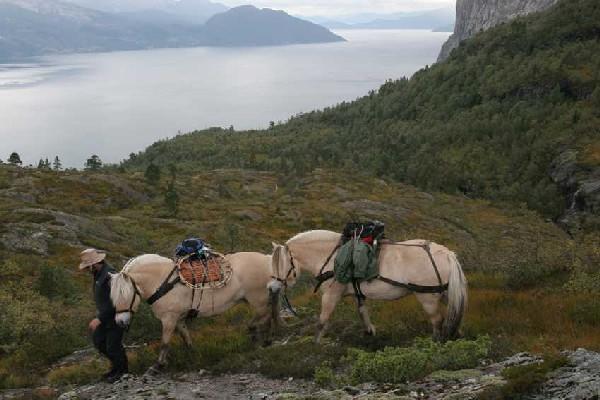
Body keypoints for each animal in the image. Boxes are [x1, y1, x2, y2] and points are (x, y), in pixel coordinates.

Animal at [109, 253, 278, 372]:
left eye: (124, 294)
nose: (120, 322)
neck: (162, 281)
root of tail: (267, 259)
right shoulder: (179, 319)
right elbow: (186, 338)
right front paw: (192, 355)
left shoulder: (169, 319)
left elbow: (164, 342)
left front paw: (158, 366)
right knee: (266, 316)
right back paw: (262, 337)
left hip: (258, 299)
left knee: (265, 316)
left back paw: (261, 337)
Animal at [268, 231, 468, 344]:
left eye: (281, 263)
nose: (272, 288)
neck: (333, 256)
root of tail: (447, 253)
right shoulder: (359, 294)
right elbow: (363, 313)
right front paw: (370, 333)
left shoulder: (331, 294)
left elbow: (322, 321)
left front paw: (315, 345)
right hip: (445, 292)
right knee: (454, 316)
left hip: (427, 297)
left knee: (437, 321)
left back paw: (436, 342)